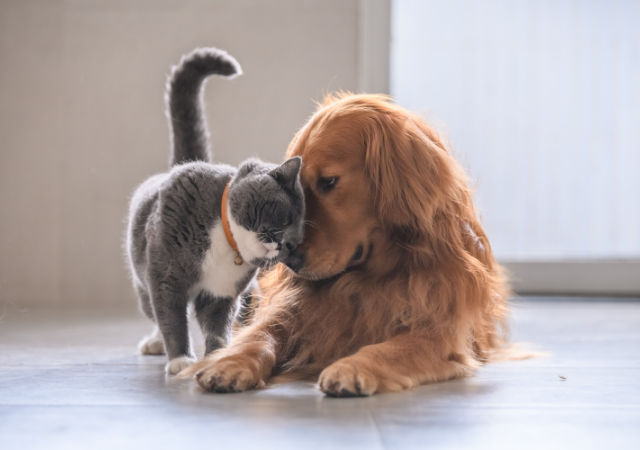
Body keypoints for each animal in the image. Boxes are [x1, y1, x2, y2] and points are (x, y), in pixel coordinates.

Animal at [126, 47, 306, 374]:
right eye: (286, 218)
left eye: (293, 244)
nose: (281, 244)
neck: (225, 242)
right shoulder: (165, 278)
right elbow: (172, 318)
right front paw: (180, 360)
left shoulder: (222, 293)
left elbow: (216, 326)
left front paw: (218, 357)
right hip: (142, 278)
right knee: (153, 311)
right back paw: (155, 343)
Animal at [184, 93, 510, 396]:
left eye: (328, 181)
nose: (289, 261)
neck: (369, 277)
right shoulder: (292, 311)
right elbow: (259, 335)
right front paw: (229, 362)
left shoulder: (439, 332)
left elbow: (390, 348)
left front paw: (352, 367)